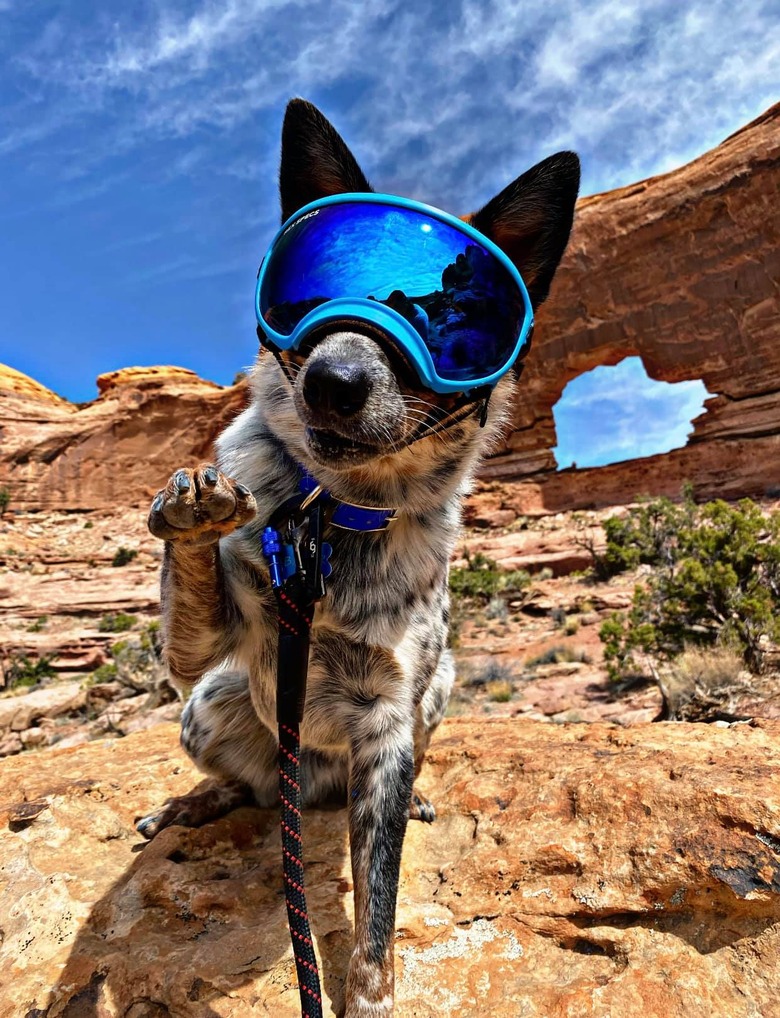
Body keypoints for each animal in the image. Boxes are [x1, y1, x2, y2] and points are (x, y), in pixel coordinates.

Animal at [137, 97, 578, 1018]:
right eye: (309, 294)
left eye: (449, 318)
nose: (332, 382)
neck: (333, 518)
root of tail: (319, 789)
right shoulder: (197, 654)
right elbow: (194, 575)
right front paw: (194, 505)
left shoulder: (388, 719)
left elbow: (377, 905)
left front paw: (368, 994)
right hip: (211, 704)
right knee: (253, 789)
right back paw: (194, 802)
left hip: (436, 693)